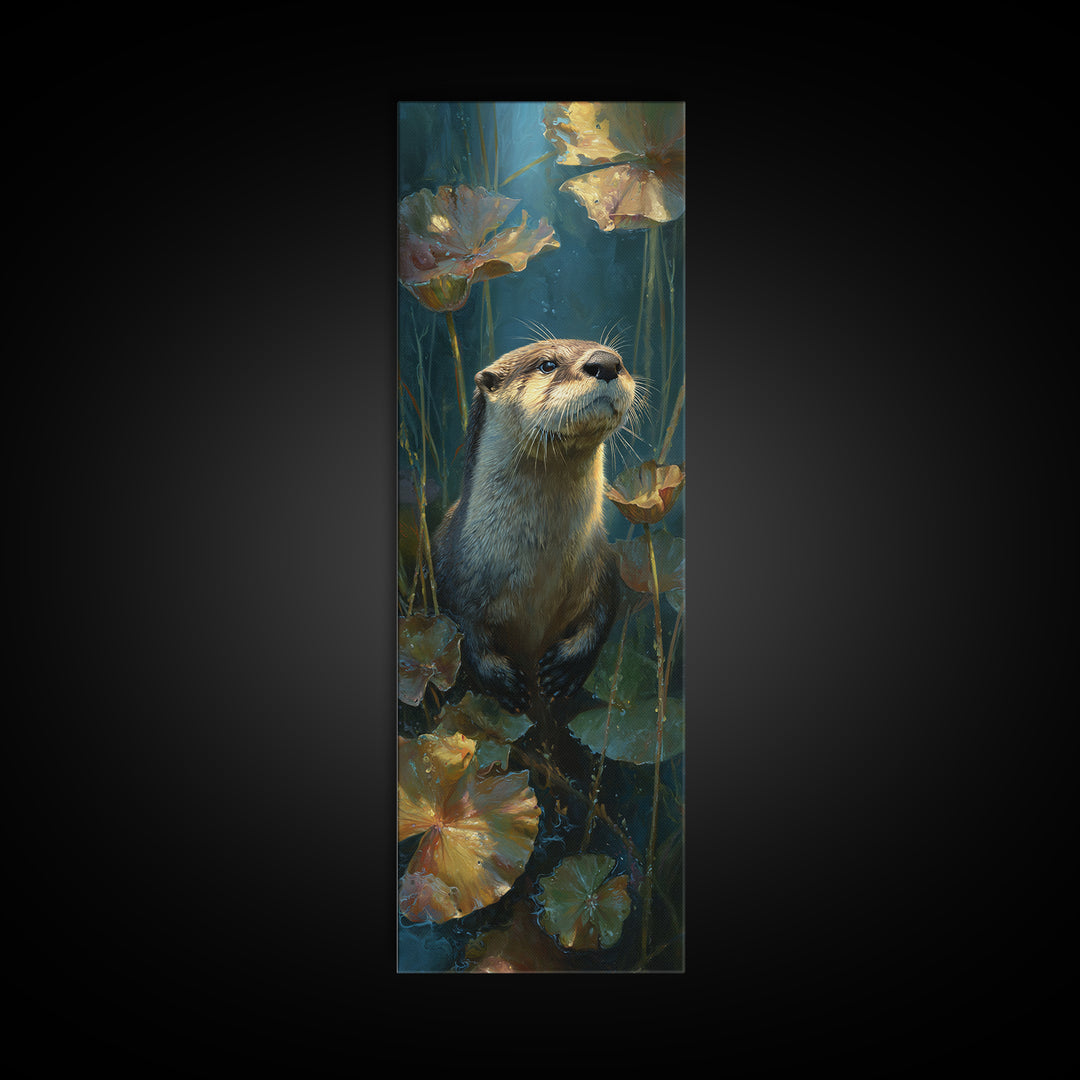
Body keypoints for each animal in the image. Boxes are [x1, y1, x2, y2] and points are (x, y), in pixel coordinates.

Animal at [432, 337, 637, 716]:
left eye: (618, 357)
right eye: (547, 365)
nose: (606, 363)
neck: (539, 568)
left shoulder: (602, 562)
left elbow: (604, 611)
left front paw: (566, 669)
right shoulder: (451, 572)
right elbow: (461, 632)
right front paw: (504, 683)